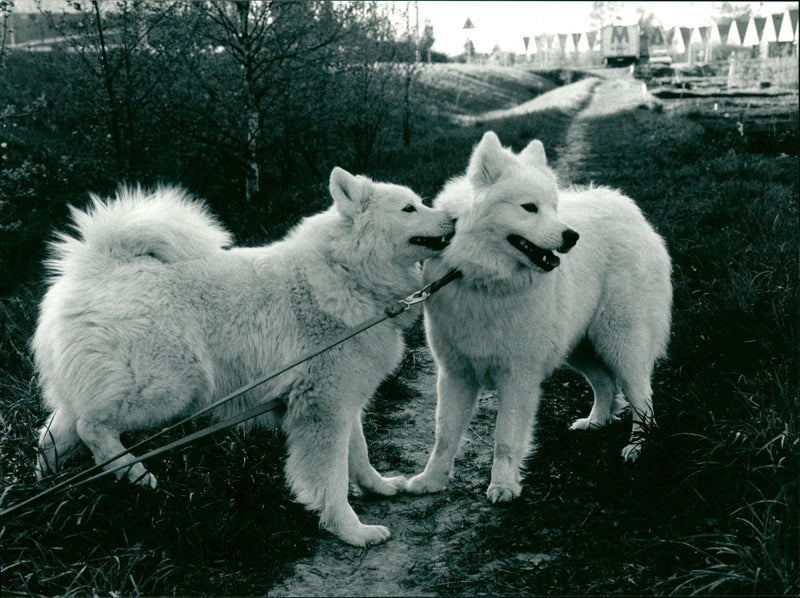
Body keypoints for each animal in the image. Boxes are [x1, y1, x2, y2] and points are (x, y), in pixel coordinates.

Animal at [32, 170, 456, 548]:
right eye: (409, 208)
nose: (454, 218)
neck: (348, 271)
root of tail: (101, 267)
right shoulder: (324, 409)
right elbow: (332, 479)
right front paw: (351, 531)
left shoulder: (344, 401)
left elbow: (360, 456)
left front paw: (379, 488)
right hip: (172, 388)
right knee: (92, 427)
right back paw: (135, 473)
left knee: (52, 435)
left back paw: (46, 489)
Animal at [410, 134, 672, 504]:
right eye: (529, 208)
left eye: (553, 207)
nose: (572, 237)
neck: (484, 280)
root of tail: (629, 210)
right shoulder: (456, 374)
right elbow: (444, 435)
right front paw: (431, 480)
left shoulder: (518, 377)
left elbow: (505, 439)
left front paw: (503, 485)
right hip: (578, 347)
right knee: (605, 384)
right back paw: (596, 422)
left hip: (622, 345)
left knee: (642, 400)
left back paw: (637, 447)